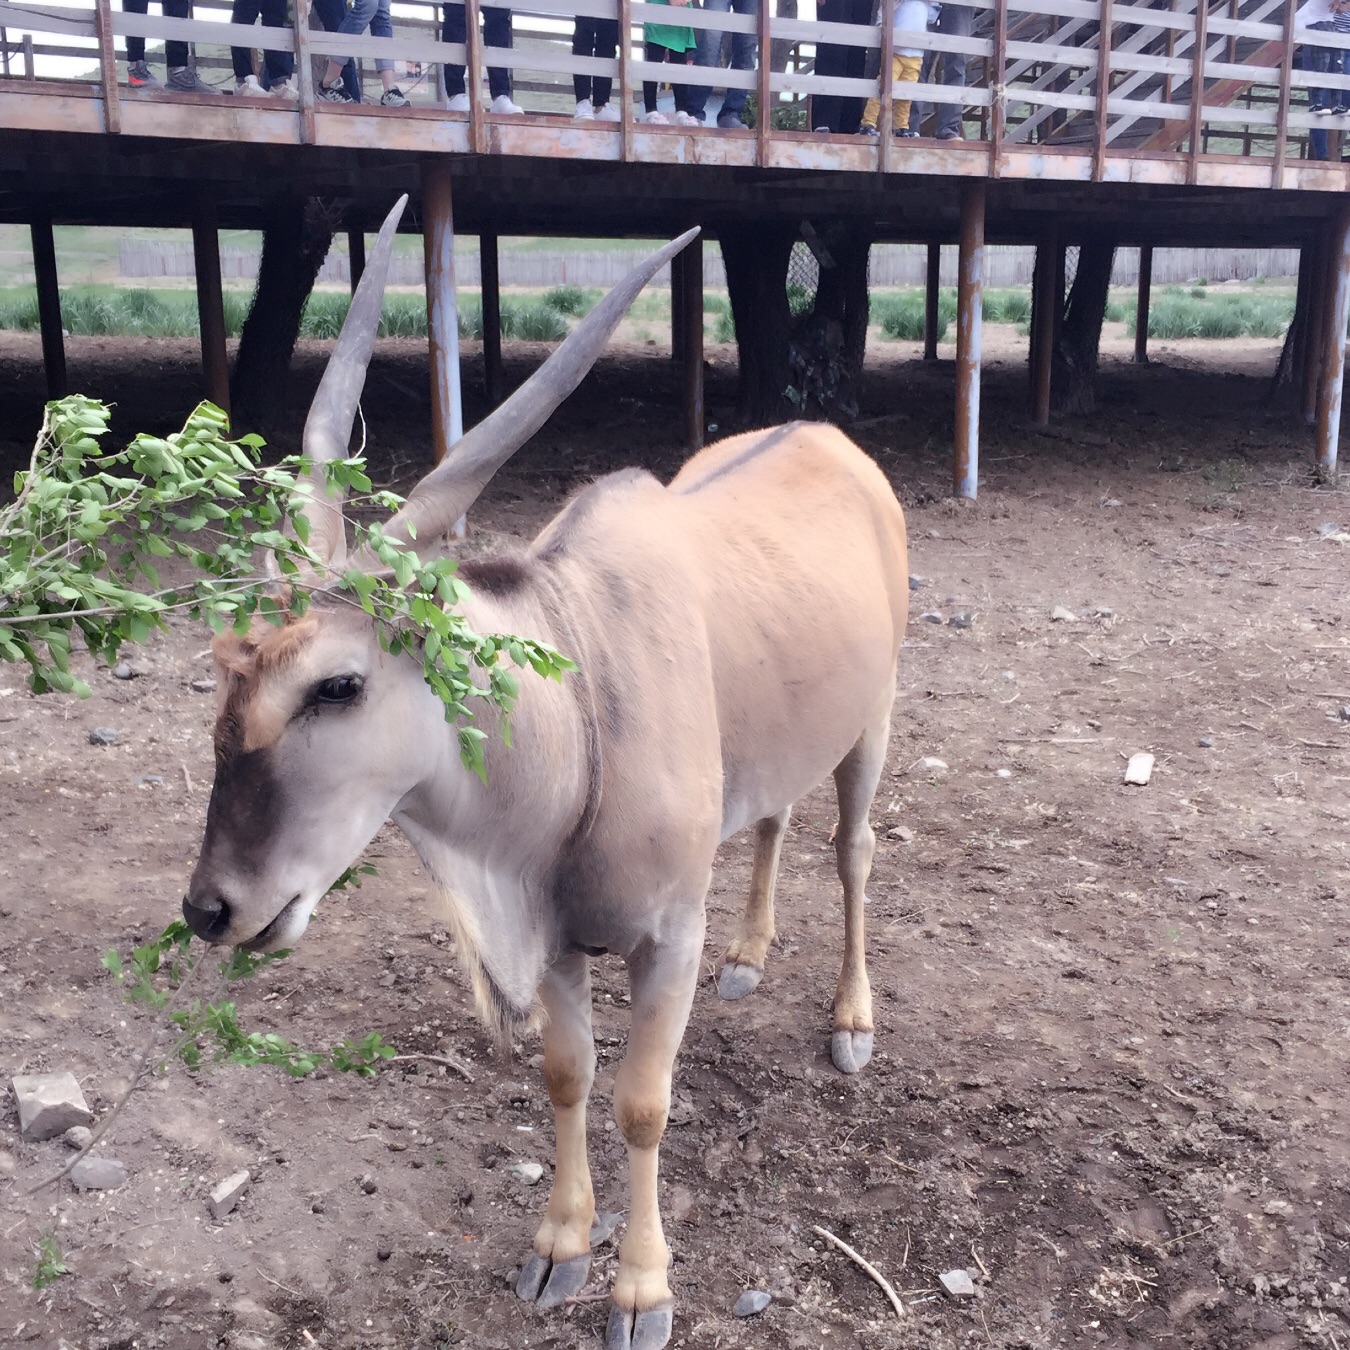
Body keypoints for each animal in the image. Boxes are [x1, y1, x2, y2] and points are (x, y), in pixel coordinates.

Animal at [182, 197, 907, 1350]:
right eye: (223, 665)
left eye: (337, 684)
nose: (212, 909)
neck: (578, 712)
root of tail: (833, 439)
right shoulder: (558, 940)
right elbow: (568, 1076)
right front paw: (561, 1248)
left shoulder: (665, 938)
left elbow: (642, 1102)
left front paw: (643, 1290)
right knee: (775, 820)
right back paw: (752, 957)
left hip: (872, 726)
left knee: (851, 850)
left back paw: (850, 1022)